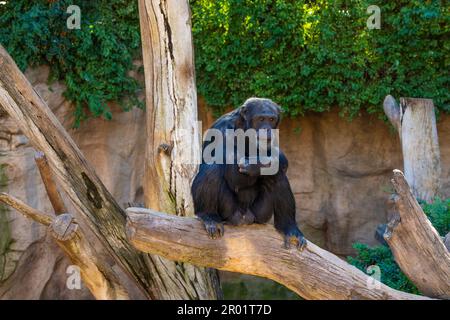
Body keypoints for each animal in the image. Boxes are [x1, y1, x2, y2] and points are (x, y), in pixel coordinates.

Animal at [190, 97, 306, 250]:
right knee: (212, 167)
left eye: (271, 119)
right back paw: (209, 217)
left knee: (278, 176)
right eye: (261, 118)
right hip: (229, 211)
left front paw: (255, 165)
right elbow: (234, 174)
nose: (267, 128)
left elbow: (280, 157)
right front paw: (253, 166)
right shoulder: (223, 130)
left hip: (260, 214)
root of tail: (245, 218)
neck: (244, 129)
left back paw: (289, 228)